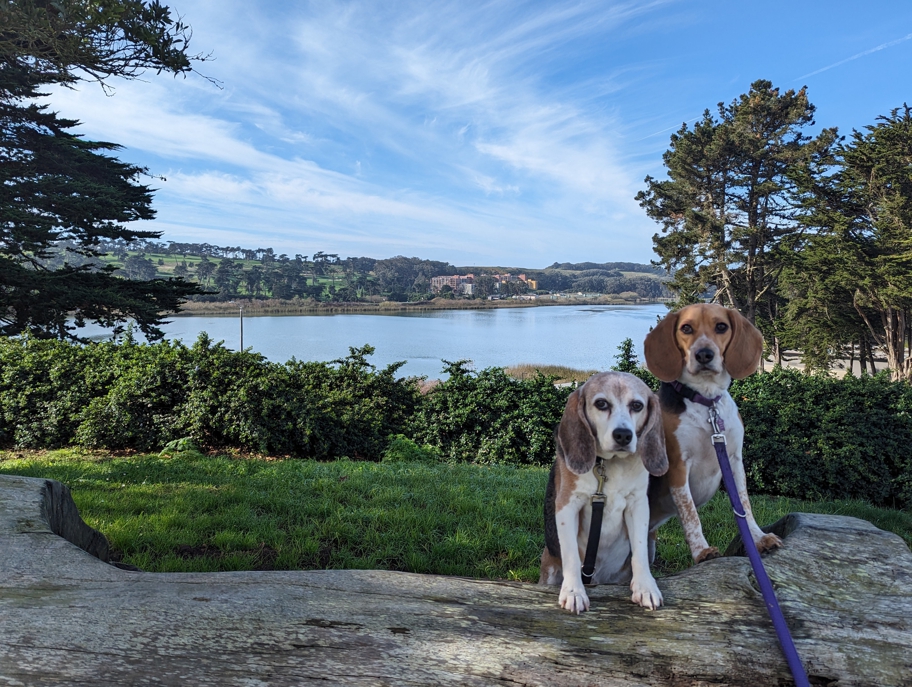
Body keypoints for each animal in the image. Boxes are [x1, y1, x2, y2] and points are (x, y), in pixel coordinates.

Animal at [536, 374, 668, 616]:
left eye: (637, 405)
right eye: (601, 404)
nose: (623, 435)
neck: (609, 465)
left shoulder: (638, 505)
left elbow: (640, 551)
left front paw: (645, 587)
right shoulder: (567, 504)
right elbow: (570, 554)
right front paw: (574, 592)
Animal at [640, 306, 784, 564]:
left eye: (721, 326)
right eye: (686, 328)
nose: (704, 354)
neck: (706, 402)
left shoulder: (735, 461)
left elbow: (744, 506)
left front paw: (758, 538)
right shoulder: (678, 466)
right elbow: (690, 514)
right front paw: (702, 551)